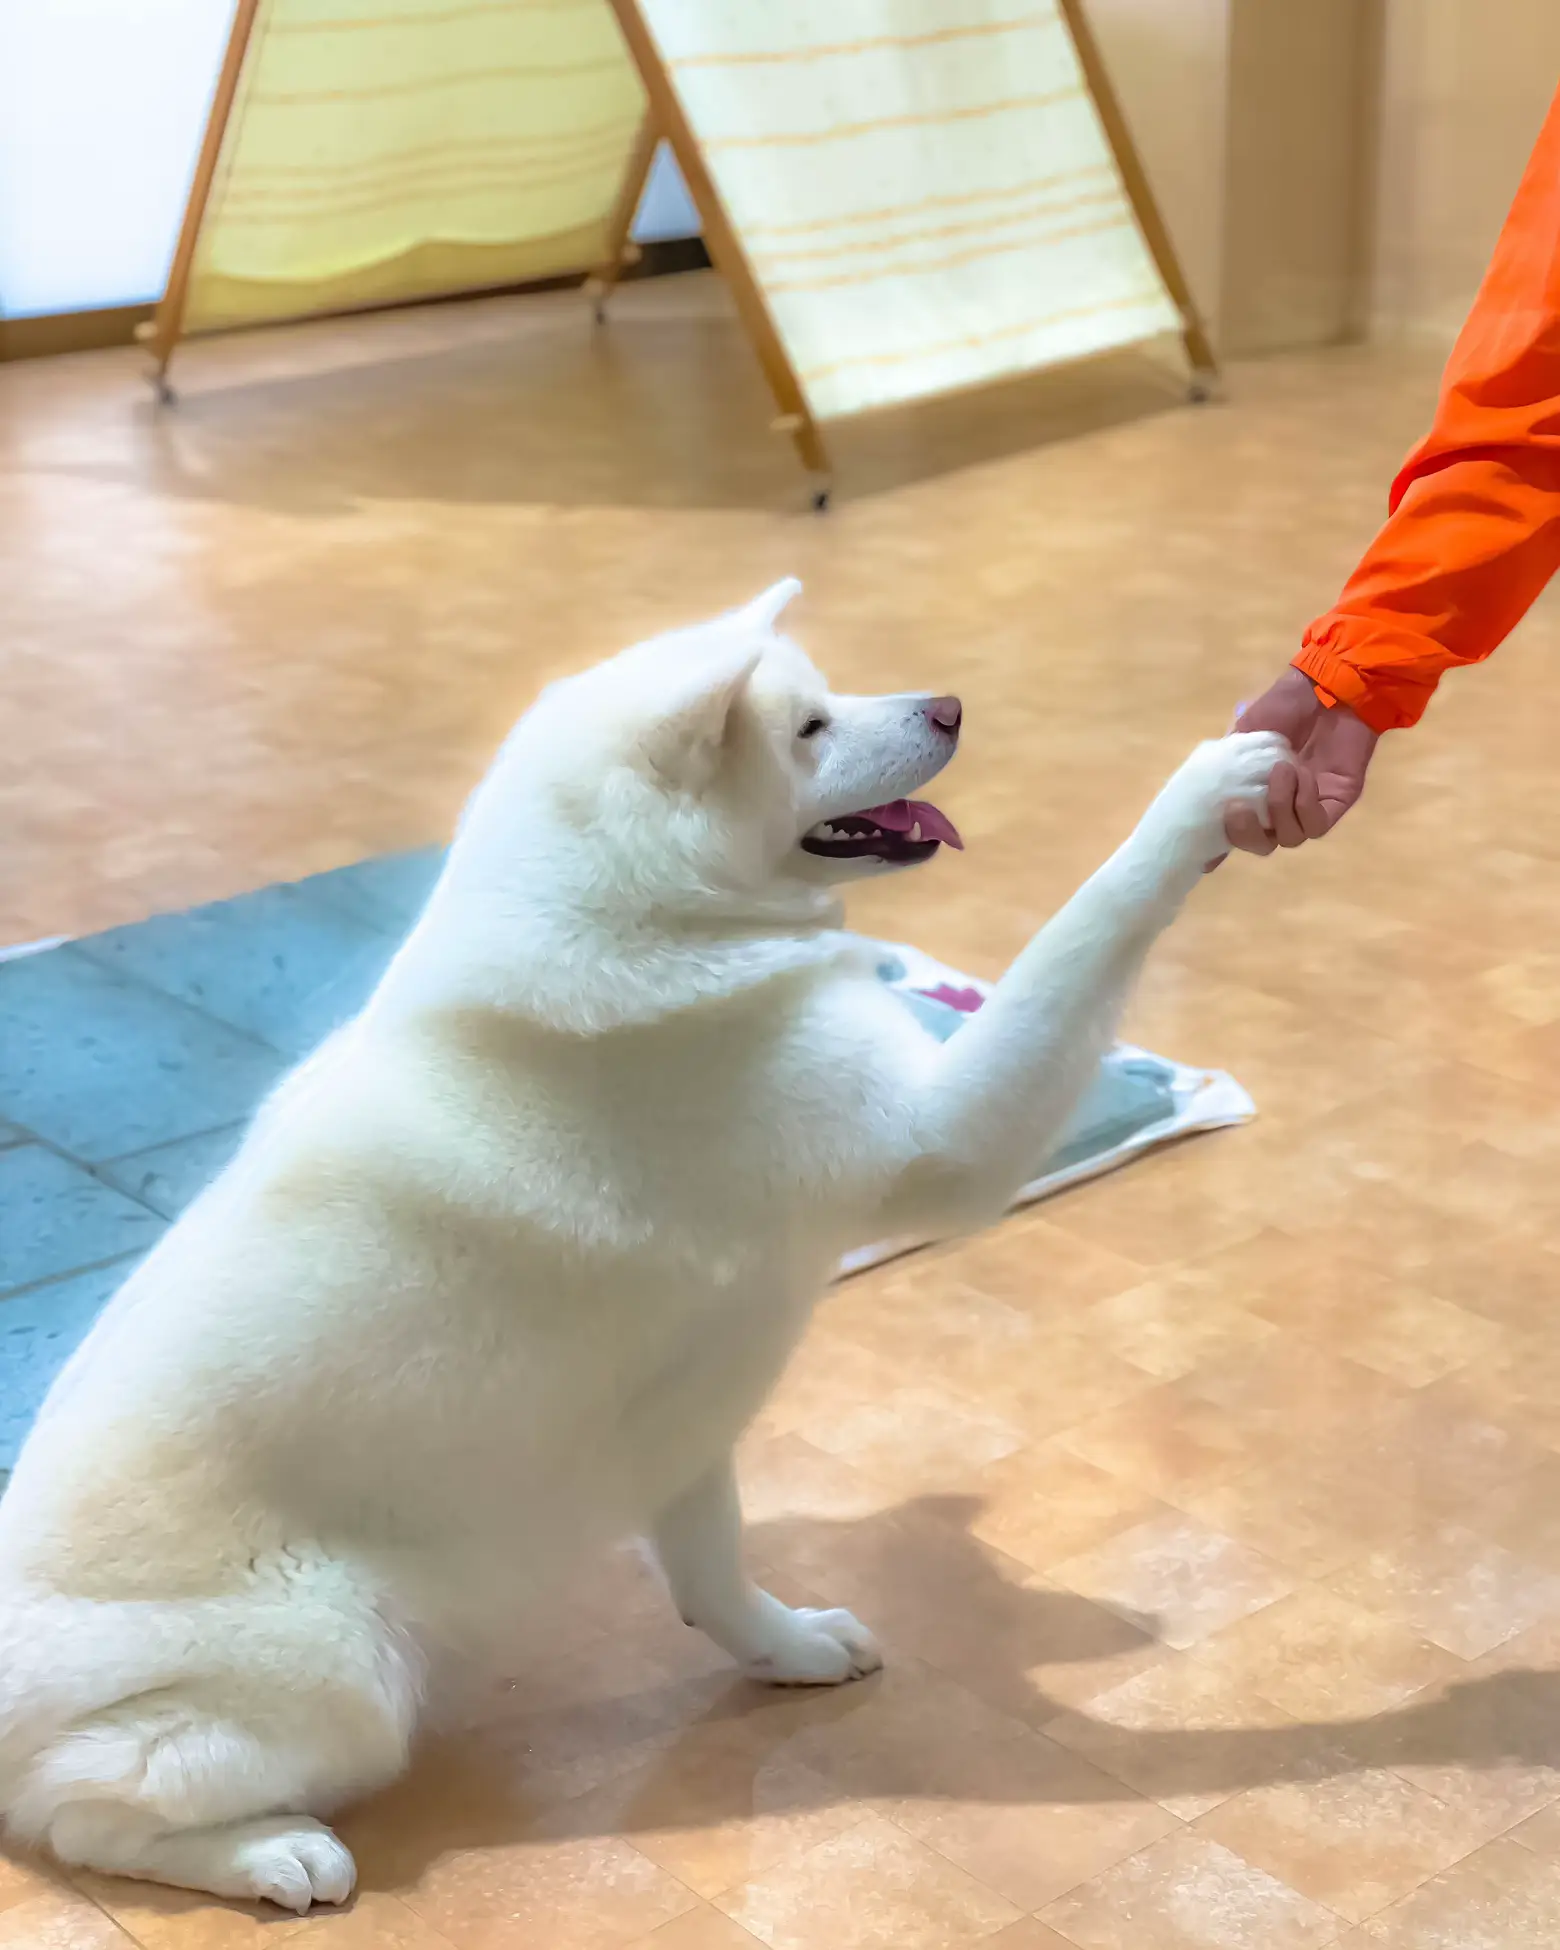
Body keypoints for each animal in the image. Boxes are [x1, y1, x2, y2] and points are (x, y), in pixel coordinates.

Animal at [0, 577, 1279, 1903]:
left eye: (828, 697)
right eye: (810, 727)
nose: (951, 705)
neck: (649, 916)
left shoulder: (686, 1423)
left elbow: (716, 1574)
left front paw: (787, 1648)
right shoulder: (943, 1138)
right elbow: (1083, 930)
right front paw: (1203, 791)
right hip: (346, 1667)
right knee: (90, 1816)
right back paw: (271, 1854)